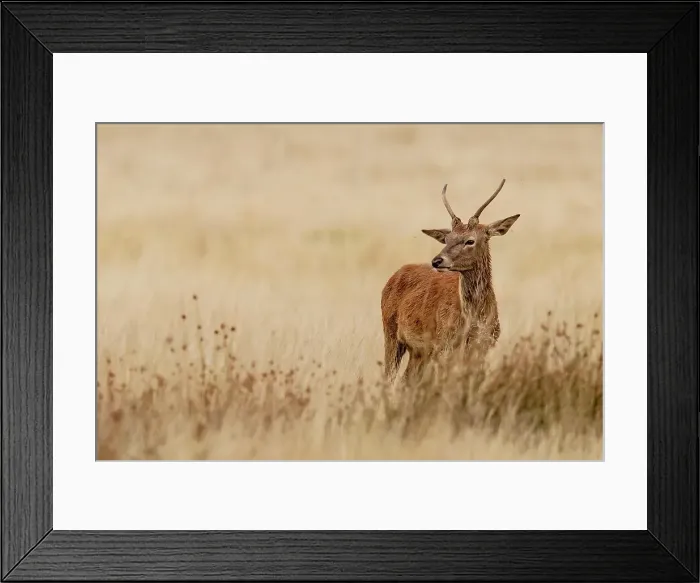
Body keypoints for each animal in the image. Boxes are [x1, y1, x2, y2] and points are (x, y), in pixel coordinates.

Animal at [380, 179, 520, 385]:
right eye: (446, 239)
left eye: (470, 240)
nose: (437, 261)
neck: (472, 321)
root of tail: (394, 276)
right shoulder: (444, 343)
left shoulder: (486, 344)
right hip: (391, 333)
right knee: (389, 377)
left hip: (419, 351)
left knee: (407, 379)